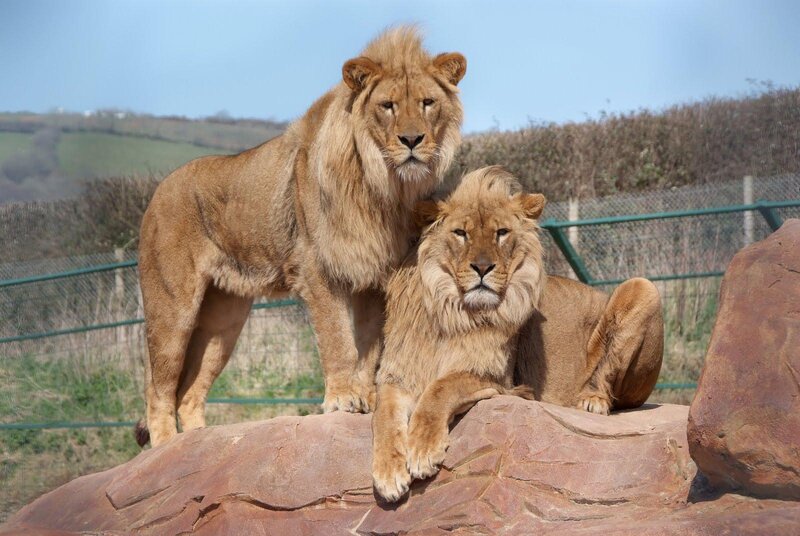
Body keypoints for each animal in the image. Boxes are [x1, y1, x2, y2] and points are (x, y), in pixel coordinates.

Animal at [135, 26, 467, 447]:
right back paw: (167, 445)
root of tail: (156, 194)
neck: (384, 188)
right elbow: (339, 340)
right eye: (388, 106)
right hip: (172, 308)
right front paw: (342, 399)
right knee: (159, 388)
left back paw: (200, 443)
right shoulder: (319, 268)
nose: (412, 140)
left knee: (190, 393)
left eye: (427, 103)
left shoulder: (375, 275)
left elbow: (370, 345)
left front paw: (368, 397)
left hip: (223, 321)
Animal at [371, 166, 664, 502]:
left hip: (644, 288)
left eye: (501, 233)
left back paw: (592, 400)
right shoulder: (398, 373)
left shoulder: (495, 376)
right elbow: (383, 414)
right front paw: (388, 473)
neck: (452, 311)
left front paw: (422, 449)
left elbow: (440, 389)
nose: (482, 267)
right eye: (461, 233)